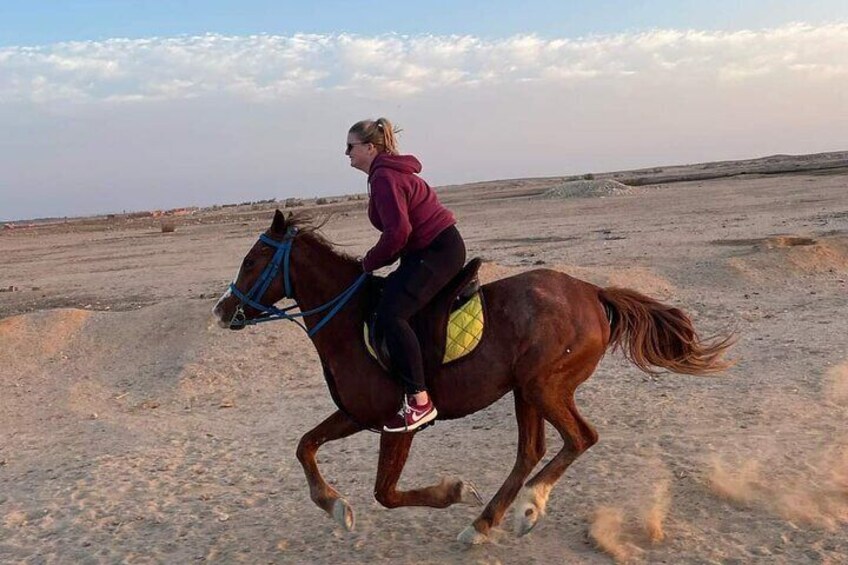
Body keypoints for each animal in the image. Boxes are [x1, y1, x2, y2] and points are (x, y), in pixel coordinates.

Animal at [214, 209, 736, 544]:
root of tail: (592, 291)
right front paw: (335, 506)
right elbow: (305, 446)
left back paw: (528, 506)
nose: (222, 310)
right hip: (526, 390)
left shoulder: (398, 424)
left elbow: (386, 492)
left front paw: (455, 492)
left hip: (543, 386)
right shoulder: (357, 414)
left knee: (579, 438)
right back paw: (486, 522)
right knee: (532, 451)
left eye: (252, 261)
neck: (349, 321)